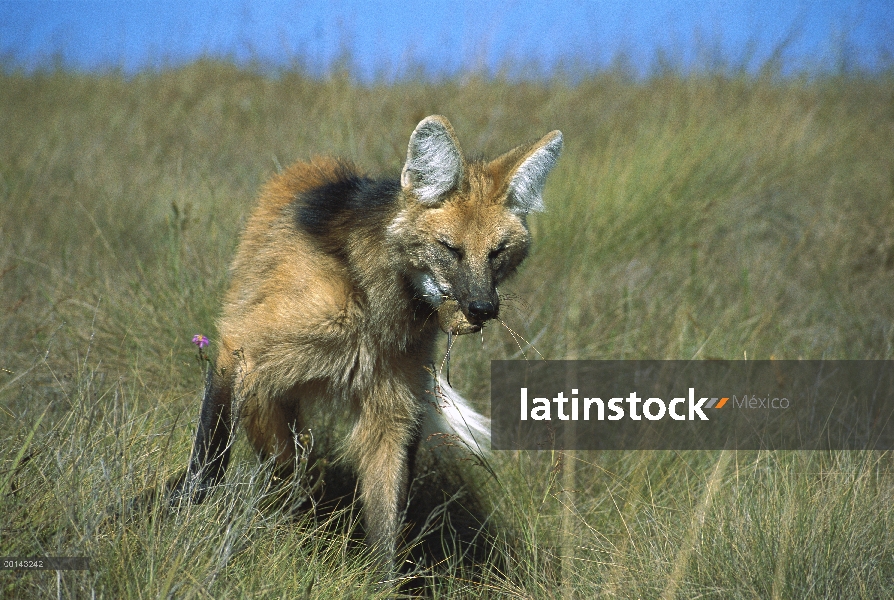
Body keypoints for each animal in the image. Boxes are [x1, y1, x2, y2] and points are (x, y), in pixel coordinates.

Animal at [172, 116, 564, 568]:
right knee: (281, 467)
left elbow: (385, 522)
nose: (483, 308)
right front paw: (182, 526)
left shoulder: (392, 409)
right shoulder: (239, 351)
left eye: (497, 253)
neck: (371, 299)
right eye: (450, 249)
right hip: (266, 398)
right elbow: (207, 464)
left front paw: (380, 578)